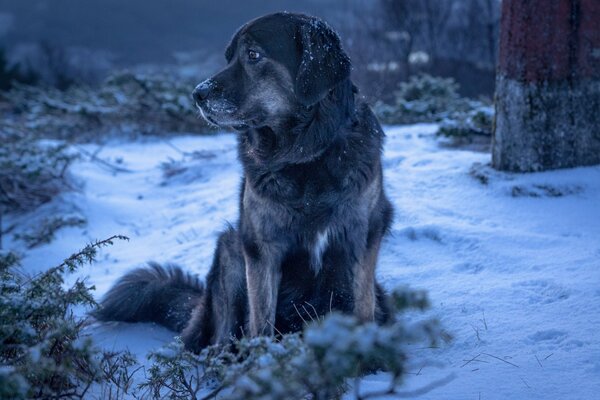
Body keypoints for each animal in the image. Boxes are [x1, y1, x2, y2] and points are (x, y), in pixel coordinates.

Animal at [95, 10, 394, 352]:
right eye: (229, 58)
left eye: (253, 55)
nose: (197, 94)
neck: (305, 157)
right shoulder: (261, 248)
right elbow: (261, 320)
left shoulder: (362, 237)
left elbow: (363, 307)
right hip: (230, 252)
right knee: (222, 336)